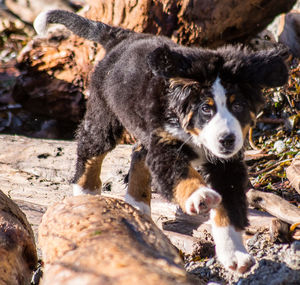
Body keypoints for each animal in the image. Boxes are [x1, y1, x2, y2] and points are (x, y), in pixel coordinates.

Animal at [33, 10, 288, 272]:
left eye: (237, 106)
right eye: (206, 109)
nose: (227, 140)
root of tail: (122, 37)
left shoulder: (226, 164)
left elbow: (228, 208)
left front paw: (234, 253)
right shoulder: (165, 146)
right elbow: (180, 175)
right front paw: (200, 195)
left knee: (138, 153)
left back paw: (138, 204)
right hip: (104, 115)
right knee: (90, 149)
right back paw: (86, 194)